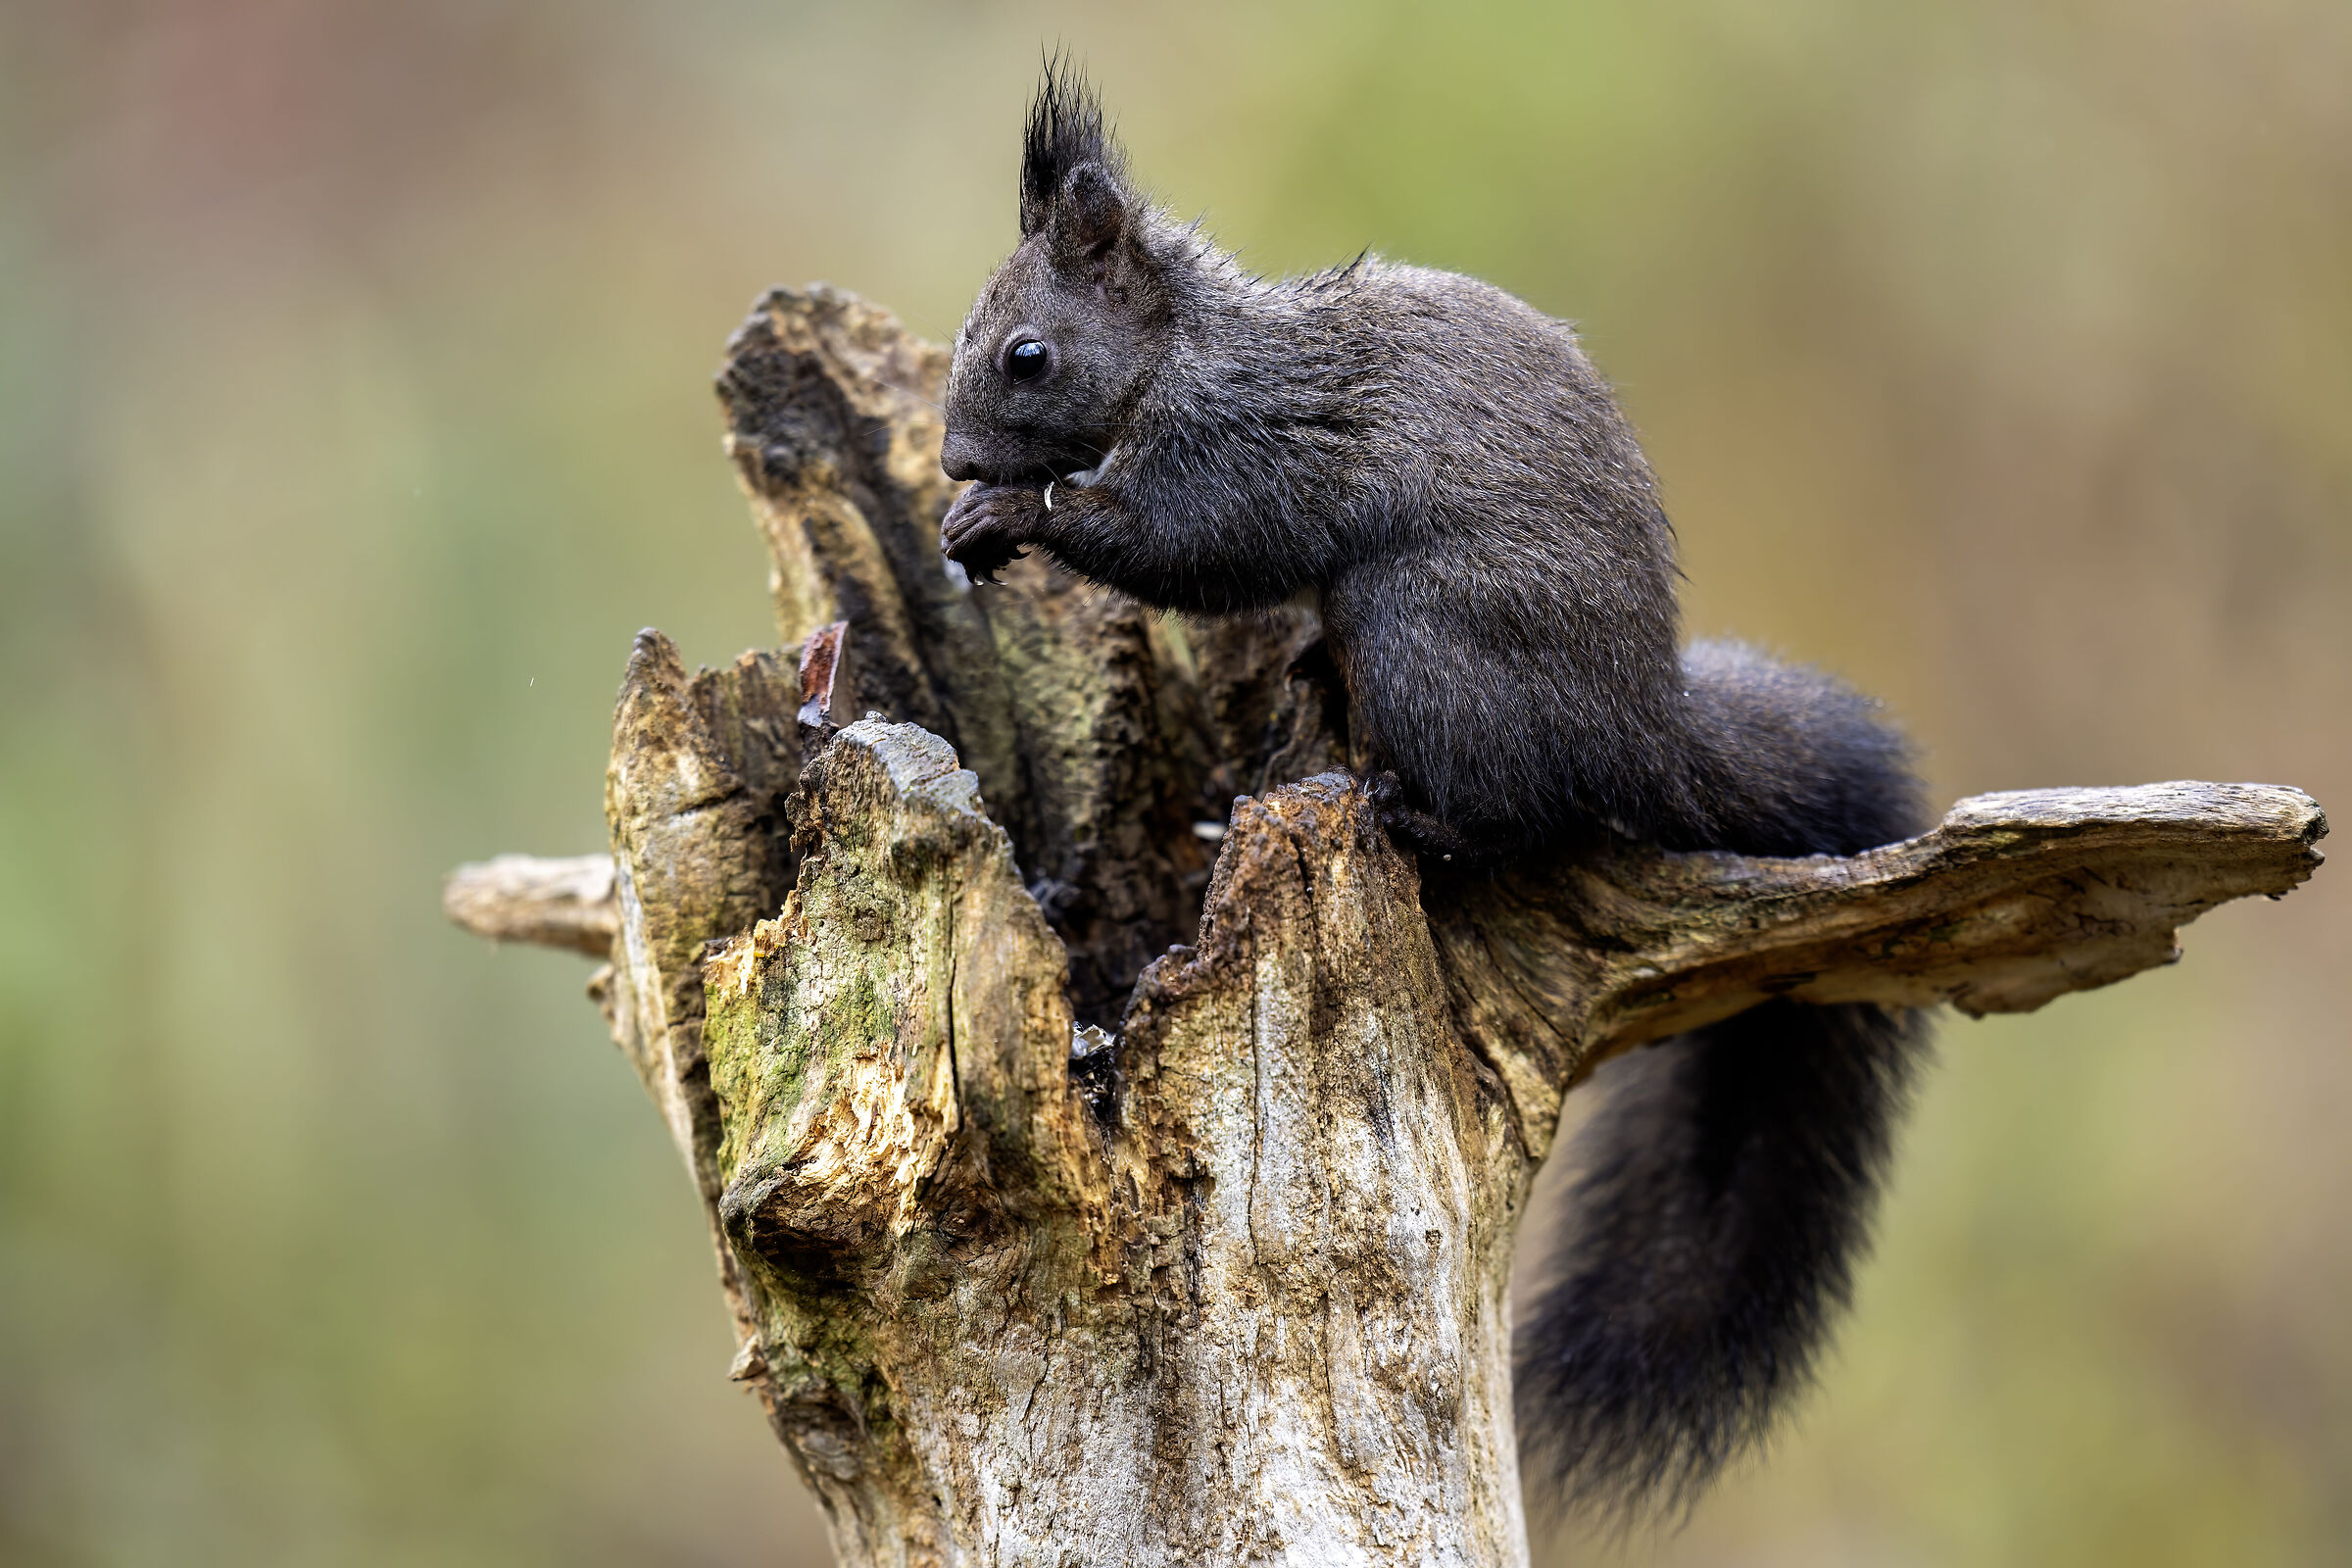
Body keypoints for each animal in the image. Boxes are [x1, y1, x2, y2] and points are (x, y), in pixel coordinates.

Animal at [937, 66, 1931, 1519]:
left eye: (1026, 355)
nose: (955, 461)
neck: (1188, 354)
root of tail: (1643, 734)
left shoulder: (1252, 449)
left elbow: (1192, 547)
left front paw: (1025, 514)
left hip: (1428, 638)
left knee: (1518, 820)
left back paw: (1406, 811)